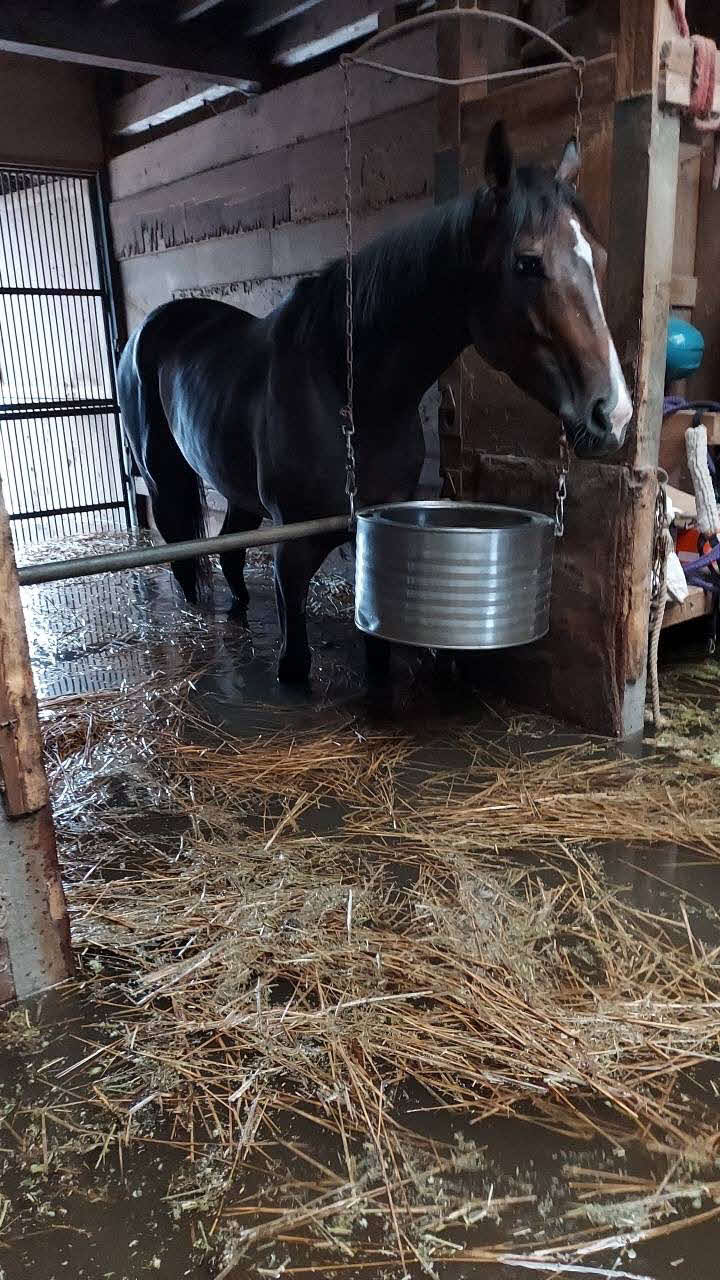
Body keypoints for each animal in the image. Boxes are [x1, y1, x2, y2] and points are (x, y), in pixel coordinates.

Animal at [117, 120, 632, 684]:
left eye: (601, 259)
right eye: (527, 262)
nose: (612, 415)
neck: (347, 393)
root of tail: (153, 326)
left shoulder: (373, 533)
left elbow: (379, 658)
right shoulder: (292, 553)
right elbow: (295, 664)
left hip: (236, 492)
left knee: (230, 557)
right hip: (163, 482)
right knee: (184, 560)